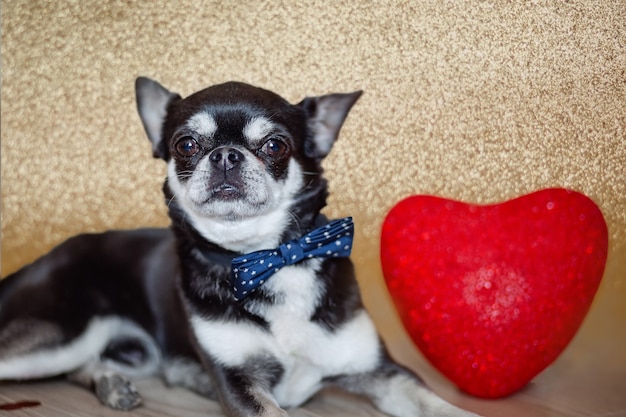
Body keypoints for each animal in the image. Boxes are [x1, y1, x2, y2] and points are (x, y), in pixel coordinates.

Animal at [0, 79, 478, 416]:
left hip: (124, 351)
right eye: (186, 145)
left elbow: (437, 403)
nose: (227, 155)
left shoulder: (385, 373)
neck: (270, 259)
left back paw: (111, 385)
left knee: (83, 366)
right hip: (61, 333)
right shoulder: (240, 386)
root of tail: (46, 255)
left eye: (275, 145)